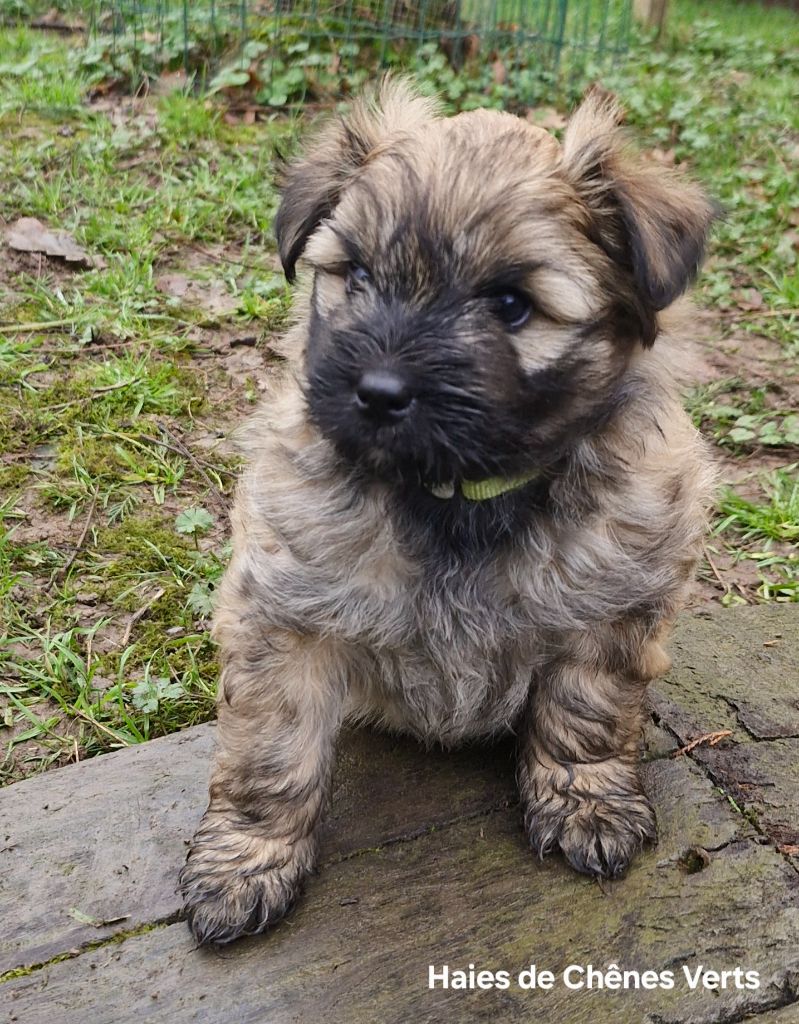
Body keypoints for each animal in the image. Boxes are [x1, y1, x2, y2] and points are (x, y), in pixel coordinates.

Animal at [181, 77, 717, 942]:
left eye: (511, 303)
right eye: (356, 275)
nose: (377, 392)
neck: (457, 494)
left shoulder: (611, 596)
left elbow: (588, 705)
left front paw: (584, 800)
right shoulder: (284, 613)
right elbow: (270, 747)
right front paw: (247, 859)